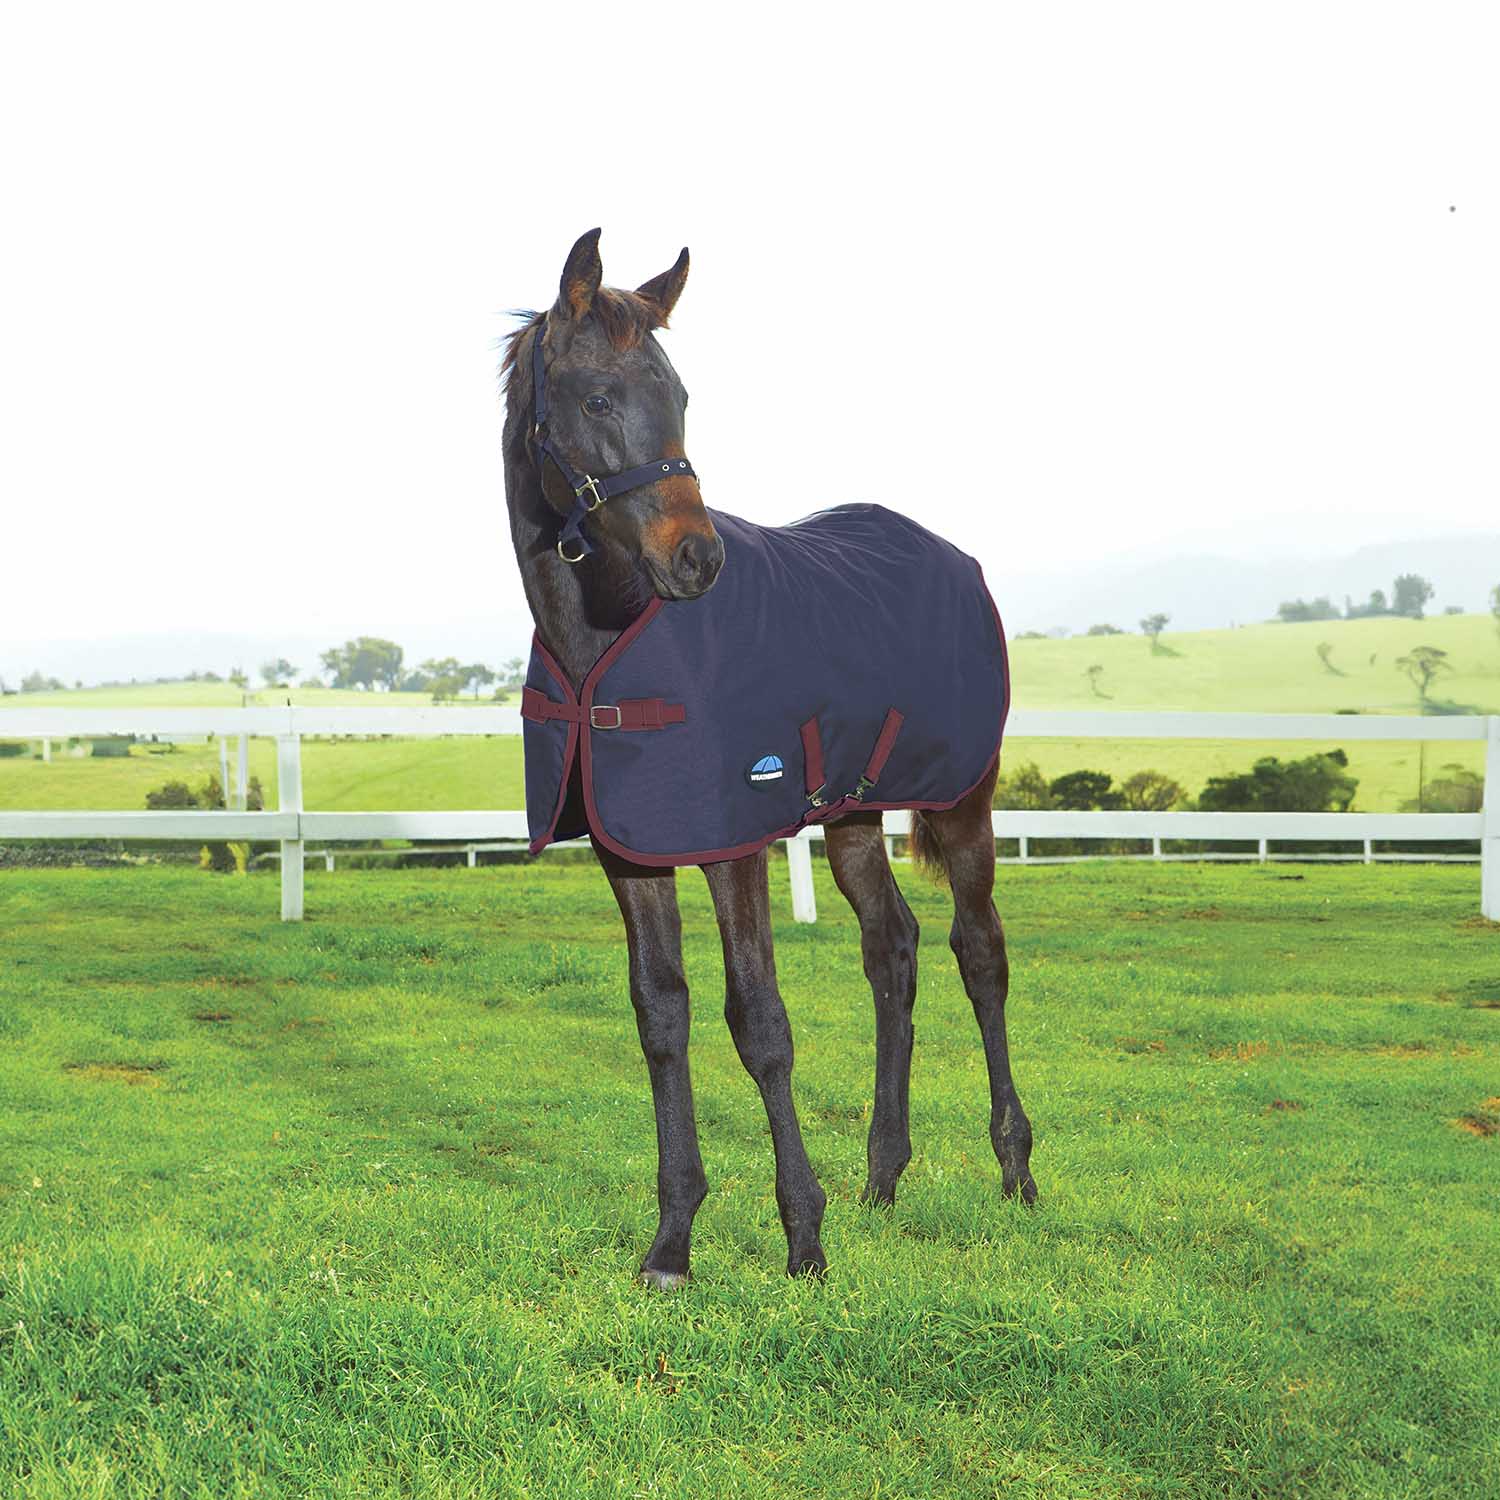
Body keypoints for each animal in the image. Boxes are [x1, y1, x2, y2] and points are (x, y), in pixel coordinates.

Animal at [500, 229, 1035, 1286]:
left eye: (682, 393)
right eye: (597, 399)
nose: (697, 559)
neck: (608, 641)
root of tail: (954, 557)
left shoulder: (732, 842)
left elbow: (760, 1022)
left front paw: (803, 1239)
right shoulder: (632, 850)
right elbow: (661, 1017)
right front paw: (672, 1243)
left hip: (964, 800)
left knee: (979, 952)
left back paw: (1016, 1170)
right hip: (857, 813)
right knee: (892, 949)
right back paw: (883, 1178)